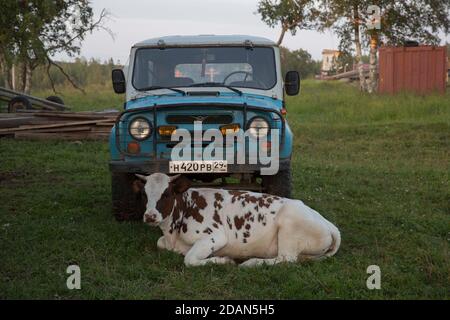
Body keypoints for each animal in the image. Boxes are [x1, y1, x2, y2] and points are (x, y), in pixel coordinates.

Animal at [134, 174, 342, 266]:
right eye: (144, 195)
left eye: (167, 194)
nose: (150, 215)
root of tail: (329, 224)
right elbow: (160, 243)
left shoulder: (215, 236)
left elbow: (189, 259)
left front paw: (223, 260)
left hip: (290, 227)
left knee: (286, 259)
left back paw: (251, 262)